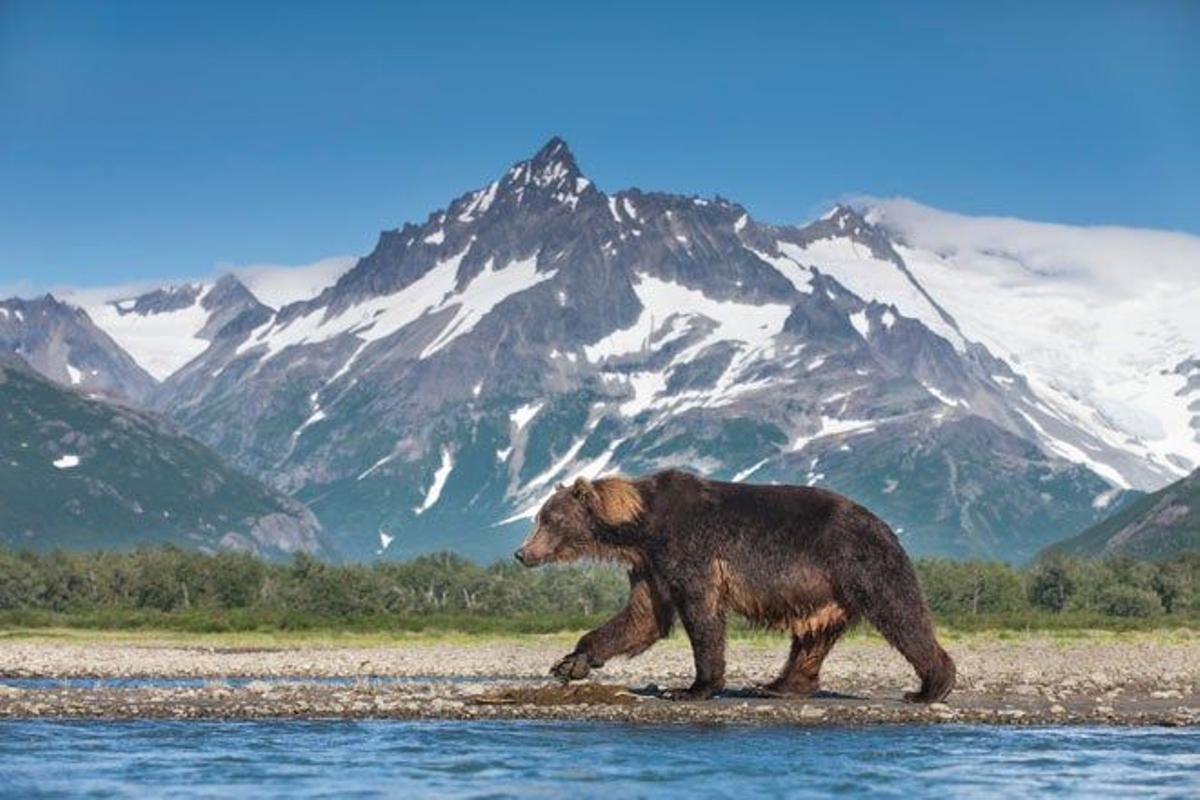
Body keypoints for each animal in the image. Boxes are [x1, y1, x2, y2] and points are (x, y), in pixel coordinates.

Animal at [516, 470, 955, 700]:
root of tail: (883, 523)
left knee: (899, 613)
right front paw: (572, 662)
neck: (638, 526)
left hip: (860, 562)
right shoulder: (650, 565)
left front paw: (692, 688)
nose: (522, 553)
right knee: (813, 637)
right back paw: (779, 685)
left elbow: (701, 613)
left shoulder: (688, 549)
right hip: (825, 591)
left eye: (549, 519)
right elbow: (643, 618)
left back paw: (932, 686)